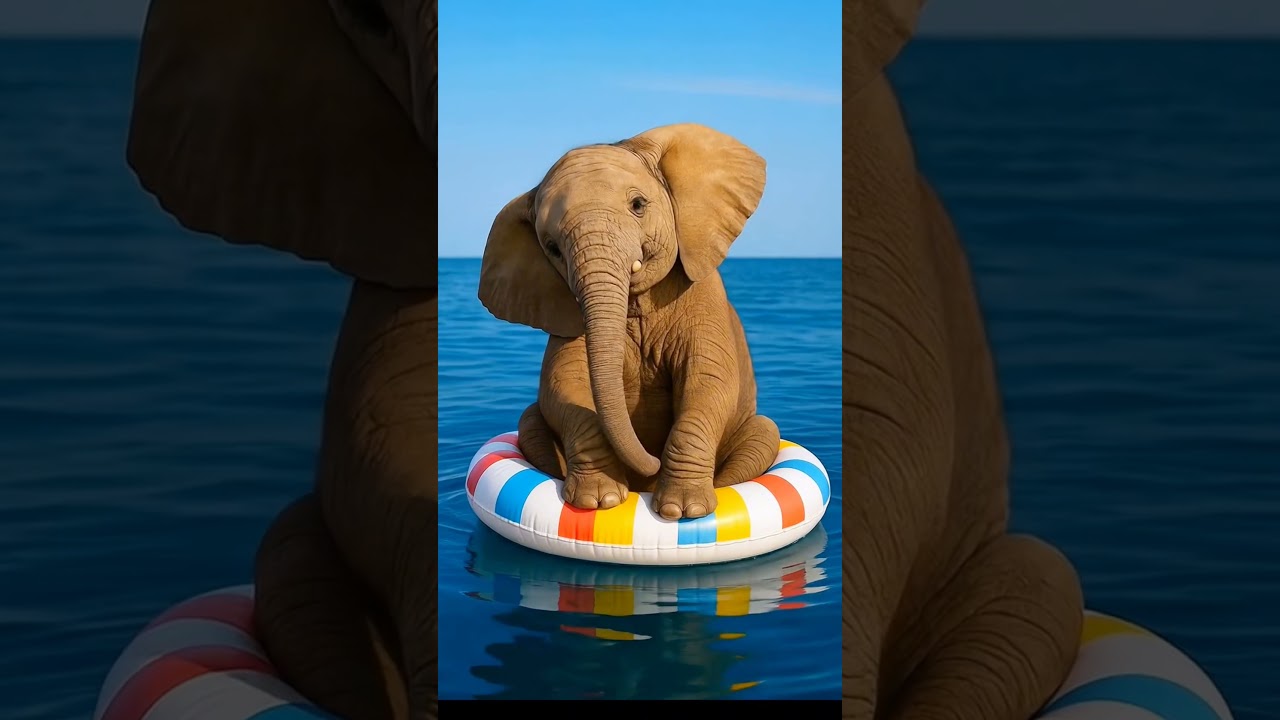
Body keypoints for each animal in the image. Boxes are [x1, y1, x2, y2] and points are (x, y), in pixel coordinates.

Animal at [476, 123, 780, 520]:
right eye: (552, 247)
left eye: (638, 205)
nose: (651, 462)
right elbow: (563, 385)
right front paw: (600, 501)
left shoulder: (703, 293)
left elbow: (709, 382)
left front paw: (684, 511)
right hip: (529, 426)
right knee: (530, 420)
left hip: (758, 432)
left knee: (764, 434)